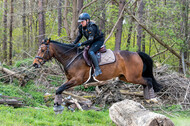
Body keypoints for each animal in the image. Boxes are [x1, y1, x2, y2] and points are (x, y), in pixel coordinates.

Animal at [32, 38, 162, 113]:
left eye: (42, 50)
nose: (35, 64)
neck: (71, 57)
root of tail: (136, 53)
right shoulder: (69, 80)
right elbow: (60, 89)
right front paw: (59, 104)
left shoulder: (77, 80)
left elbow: (59, 89)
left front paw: (57, 106)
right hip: (125, 77)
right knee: (146, 82)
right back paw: (147, 97)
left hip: (133, 77)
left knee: (149, 81)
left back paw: (151, 98)